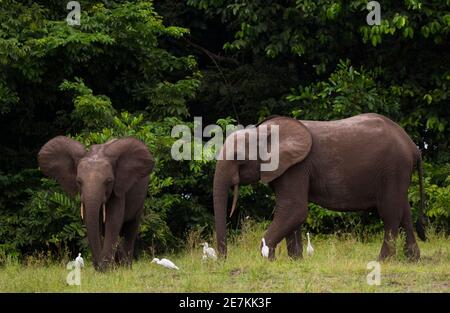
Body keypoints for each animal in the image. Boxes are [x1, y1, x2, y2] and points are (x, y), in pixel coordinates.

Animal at [38, 135, 155, 270]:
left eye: (108, 181)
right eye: (79, 181)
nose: (99, 266)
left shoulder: (118, 189)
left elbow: (113, 220)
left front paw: (107, 268)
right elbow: (94, 221)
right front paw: (105, 268)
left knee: (131, 227)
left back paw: (126, 267)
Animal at [214, 113, 426, 260]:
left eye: (238, 158)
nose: (223, 260)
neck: (264, 131)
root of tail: (413, 147)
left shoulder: (297, 167)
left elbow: (294, 209)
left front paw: (269, 259)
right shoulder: (286, 168)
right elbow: (292, 213)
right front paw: (295, 261)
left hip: (394, 167)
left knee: (390, 212)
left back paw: (383, 260)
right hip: (397, 172)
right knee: (404, 209)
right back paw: (412, 259)